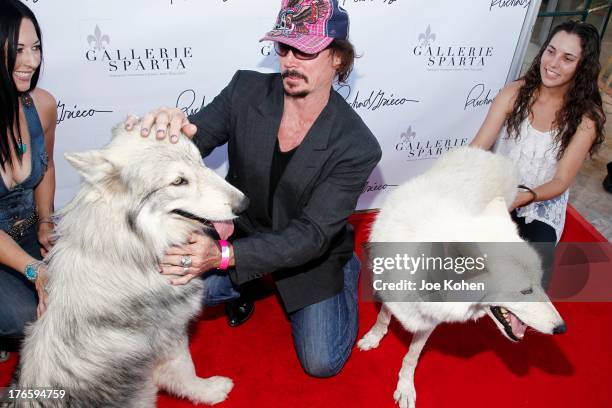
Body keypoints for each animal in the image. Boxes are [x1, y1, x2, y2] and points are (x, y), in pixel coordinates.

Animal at [8, 122, 244, 406]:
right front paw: (207, 391)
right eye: (178, 181)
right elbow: (184, 371)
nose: (244, 203)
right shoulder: (170, 336)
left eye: (201, 162)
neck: (129, 250)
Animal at [358, 147, 564, 408]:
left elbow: (412, 357)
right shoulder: (390, 295)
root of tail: (492, 156)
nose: (562, 328)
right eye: (525, 290)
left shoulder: (430, 322)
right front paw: (373, 338)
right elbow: (383, 318)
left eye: (539, 283)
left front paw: (405, 387)